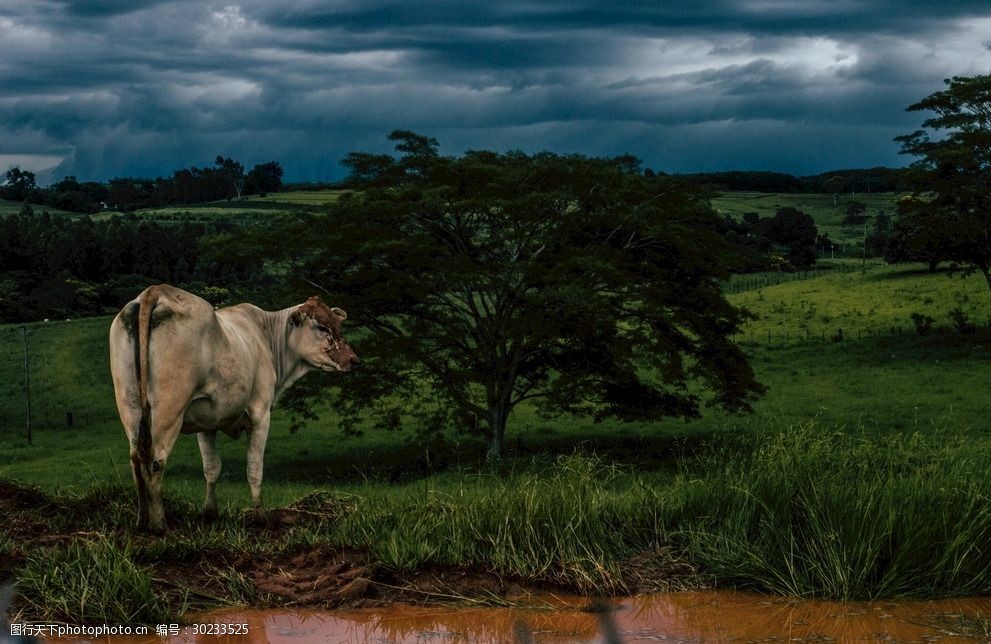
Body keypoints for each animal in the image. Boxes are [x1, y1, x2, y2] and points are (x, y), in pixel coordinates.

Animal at [109, 286, 356, 532]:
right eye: (321, 326)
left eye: (338, 324)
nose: (353, 359)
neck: (266, 336)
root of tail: (155, 291)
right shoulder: (260, 415)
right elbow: (255, 469)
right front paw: (261, 519)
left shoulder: (206, 423)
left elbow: (212, 467)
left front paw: (210, 513)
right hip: (169, 409)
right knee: (155, 461)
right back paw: (160, 524)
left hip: (130, 406)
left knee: (136, 460)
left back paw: (141, 520)